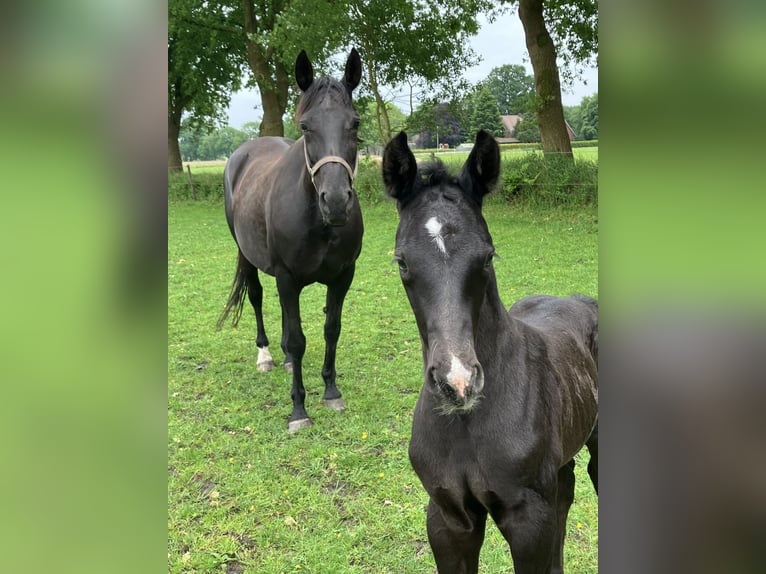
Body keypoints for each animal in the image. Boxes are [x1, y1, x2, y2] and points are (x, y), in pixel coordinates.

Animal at [218, 49, 364, 434]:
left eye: (355, 123)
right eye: (305, 126)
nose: (336, 201)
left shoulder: (343, 276)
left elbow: (331, 329)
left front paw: (331, 391)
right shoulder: (287, 277)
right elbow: (298, 340)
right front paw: (299, 409)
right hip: (248, 257)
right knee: (257, 298)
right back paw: (267, 355)